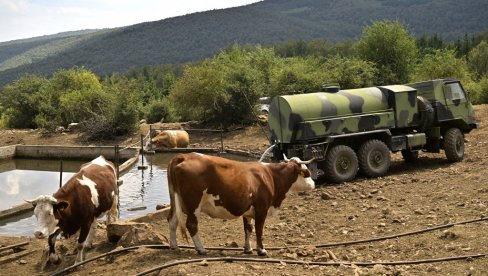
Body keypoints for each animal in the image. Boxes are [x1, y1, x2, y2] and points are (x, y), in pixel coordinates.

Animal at [166, 152, 314, 256]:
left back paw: (174, 246)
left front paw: (247, 249)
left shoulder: (248, 210)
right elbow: (259, 229)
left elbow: (248, 229)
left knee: (172, 220)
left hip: (175, 200)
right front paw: (261, 250)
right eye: (307, 172)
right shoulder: (262, 208)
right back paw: (201, 249)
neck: (270, 176)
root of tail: (184, 156)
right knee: (191, 224)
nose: (313, 184)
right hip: (193, 204)